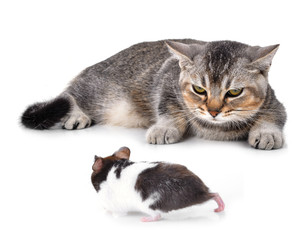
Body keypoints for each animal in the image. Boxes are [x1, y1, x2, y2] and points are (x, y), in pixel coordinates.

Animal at [20, 38, 286, 149]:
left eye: (234, 92)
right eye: (199, 89)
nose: (212, 111)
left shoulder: (275, 103)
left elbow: (273, 117)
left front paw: (267, 133)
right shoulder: (167, 82)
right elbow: (168, 109)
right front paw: (164, 128)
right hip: (103, 94)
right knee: (68, 94)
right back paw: (76, 114)